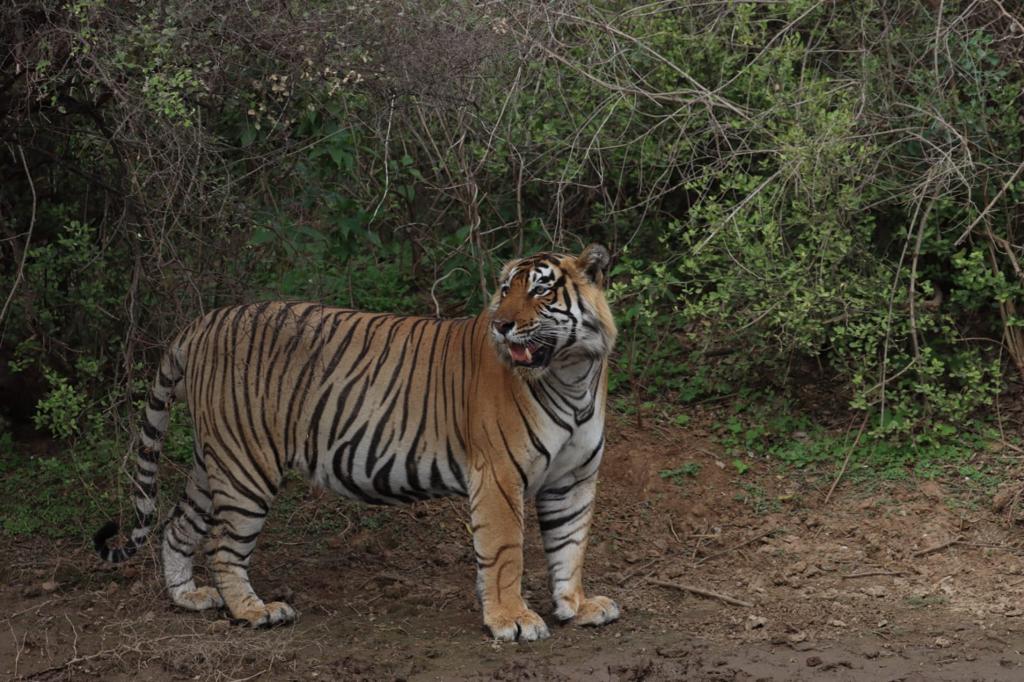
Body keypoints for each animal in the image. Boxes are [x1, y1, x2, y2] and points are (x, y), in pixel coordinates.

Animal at [94, 244, 619, 641]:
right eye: (505, 289)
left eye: (540, 289)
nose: (501, 324)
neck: (572, 374)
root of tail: (203, 322)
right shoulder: (498, 476)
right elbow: (506, 551)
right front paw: (512, 620)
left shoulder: (573, 478)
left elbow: (571, 544)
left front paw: (576, 606)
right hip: (246, 465)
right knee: (222, 543)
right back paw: (254, 611)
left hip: (216, 461)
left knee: (177, 526)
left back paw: (188, 597)